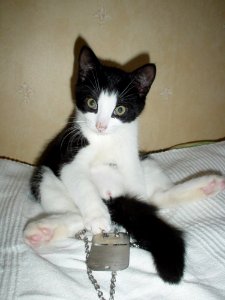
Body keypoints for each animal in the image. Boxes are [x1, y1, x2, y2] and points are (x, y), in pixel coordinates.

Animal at [24, 46, 225, 284]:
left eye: (119, 109)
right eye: (92, 103)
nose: (101, 126)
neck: (104, 140)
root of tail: (110, 196)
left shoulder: (131, 154)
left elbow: (139, 196)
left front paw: (139, 210)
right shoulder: (68, 155)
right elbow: (82, 183)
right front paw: (98, 216)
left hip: (147, 161)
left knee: (156, 197)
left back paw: (207, 185)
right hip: (45, 175)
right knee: (74, 213)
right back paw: (45, 230)